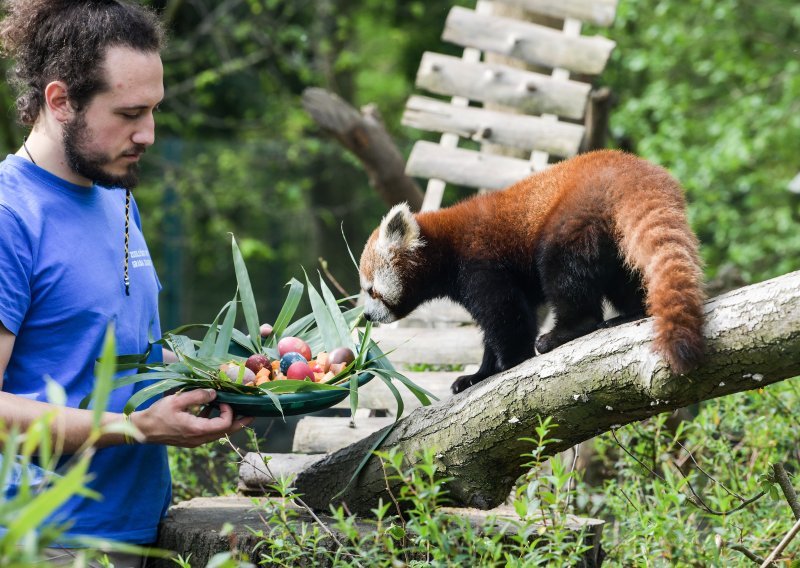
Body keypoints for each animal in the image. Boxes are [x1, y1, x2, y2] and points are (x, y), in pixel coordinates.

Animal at [360, 149, 704, 392]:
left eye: (371, 290)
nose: (365, 315)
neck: (445, 245)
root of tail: (634, 171)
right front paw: (477, 374)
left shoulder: (481, 264)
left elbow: (504, 315)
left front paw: (511, 360)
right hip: (613, 239)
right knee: (626, 279)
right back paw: (630, 313)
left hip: (573, 220)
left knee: (565, 277)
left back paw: (563, 332)